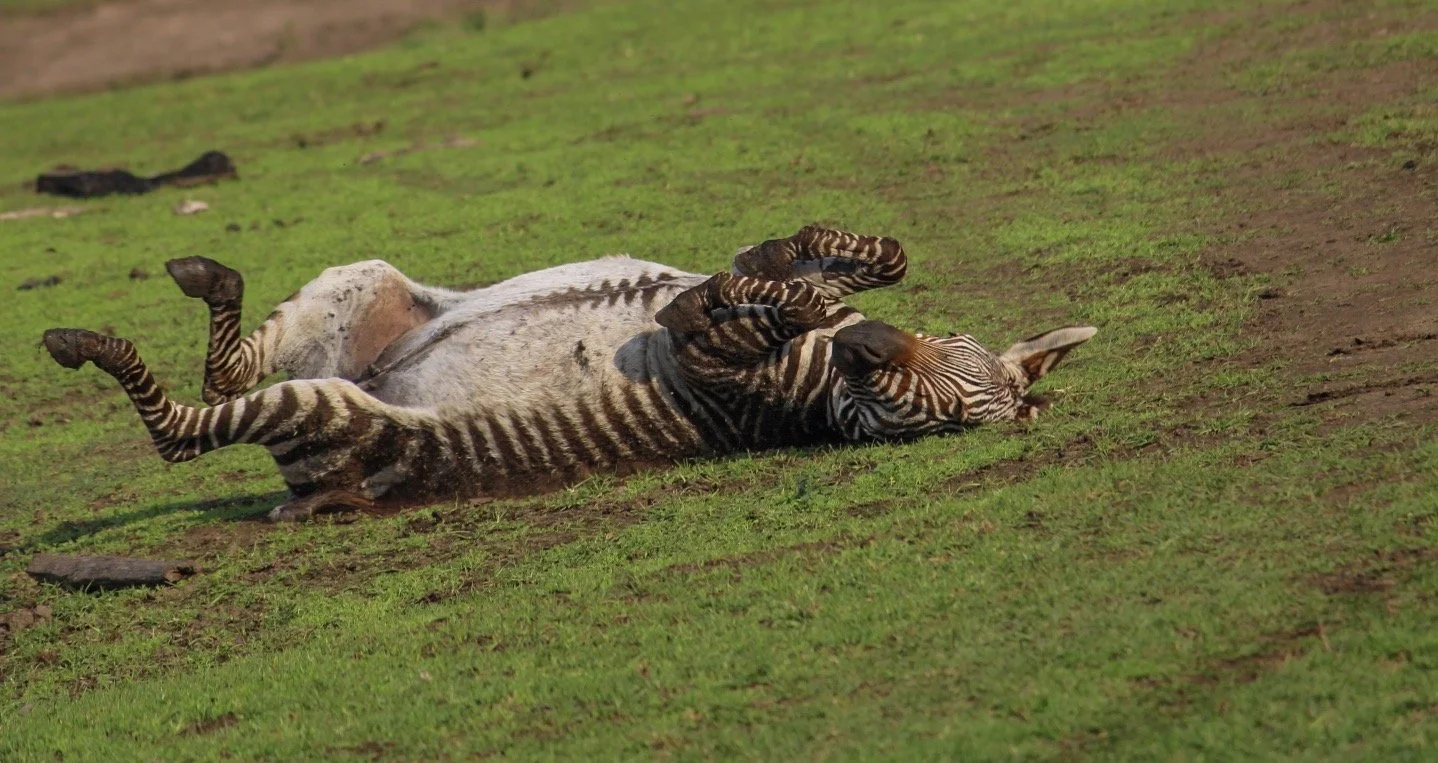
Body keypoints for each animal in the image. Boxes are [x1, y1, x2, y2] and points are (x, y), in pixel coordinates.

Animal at [41, 225, 1096, 521]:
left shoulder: (704, 352)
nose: (867, 349)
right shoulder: (787, 297)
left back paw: (83, 344)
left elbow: (722, 303)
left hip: (332, 411)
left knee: (185, 427)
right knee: (224, 366)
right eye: (943, 370)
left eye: (924, 419)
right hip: (362, 286)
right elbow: (851, 259)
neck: (813, 384)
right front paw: (803, 260)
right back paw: (201, 275)